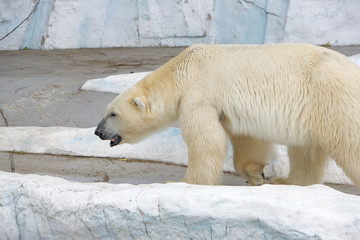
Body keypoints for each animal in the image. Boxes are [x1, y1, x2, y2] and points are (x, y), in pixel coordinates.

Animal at [95, 43, 360, 188]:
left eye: (113, 113)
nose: (98, 131)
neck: (182, 71)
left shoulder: (199, 96)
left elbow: (206, 141)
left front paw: (183, 183)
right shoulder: (231, 108)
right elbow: (247, 138)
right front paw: (256, 174)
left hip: (334, 98)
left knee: (348, 144)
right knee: (306, 150)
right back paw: (287, 181)